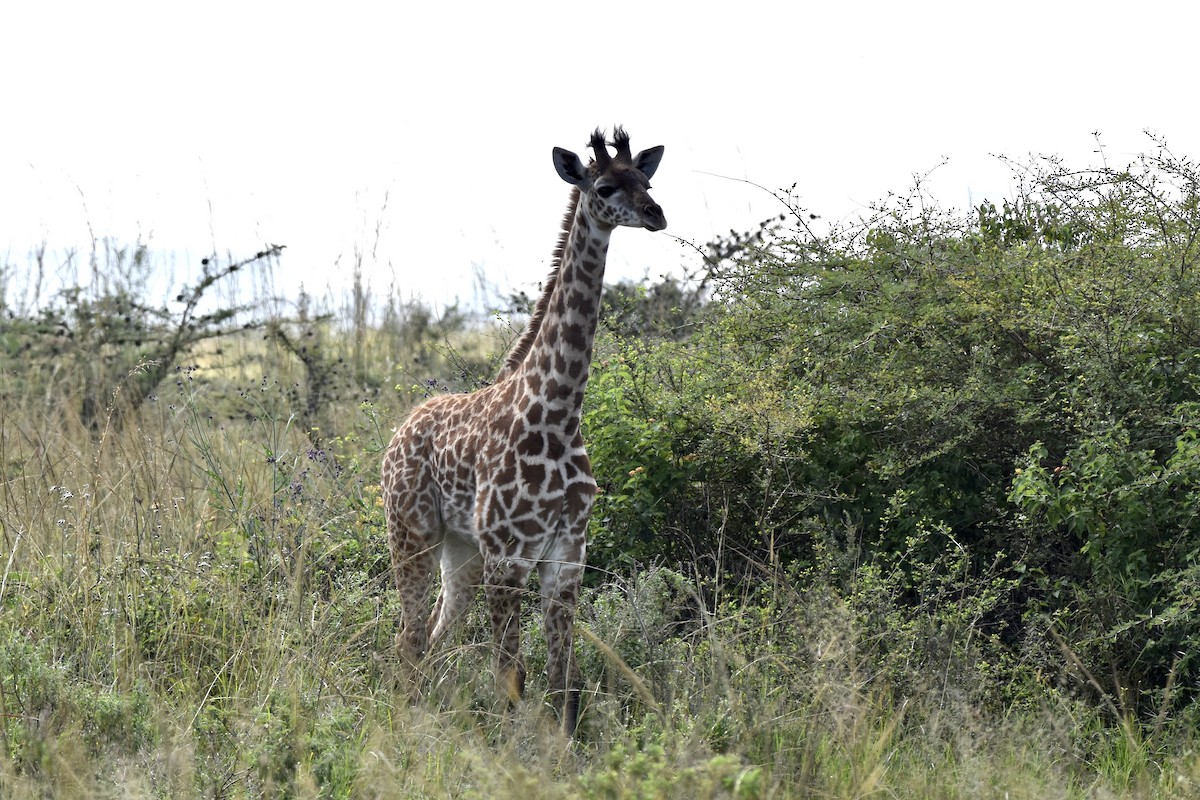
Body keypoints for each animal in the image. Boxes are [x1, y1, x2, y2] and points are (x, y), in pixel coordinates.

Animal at [381, 127, 666, 734]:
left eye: (648, 181)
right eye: (605, 186)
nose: (657, 215)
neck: (558, 414)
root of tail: (397, 433)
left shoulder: (566, 554)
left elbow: (563, 681)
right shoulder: (509, 558)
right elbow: (511, 680)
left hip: (461, 552)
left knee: (432, 636)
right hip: (412, 534)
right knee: (409, 638)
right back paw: (407, 725)